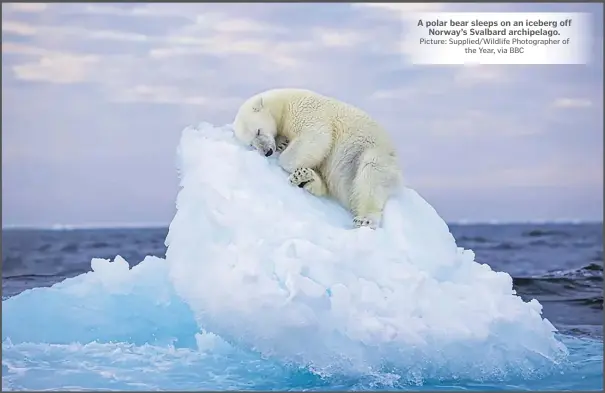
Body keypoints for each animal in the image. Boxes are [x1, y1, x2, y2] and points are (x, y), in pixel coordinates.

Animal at [231, 86, 402, 227]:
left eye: (258, 131)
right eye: (251, 144)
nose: (267, 151)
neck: (283, 103)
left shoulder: (304, 110)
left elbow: (317, 136)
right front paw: (282, 144)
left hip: (373, 152)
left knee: (371, 175)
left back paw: (366, 219)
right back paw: (305, 178)